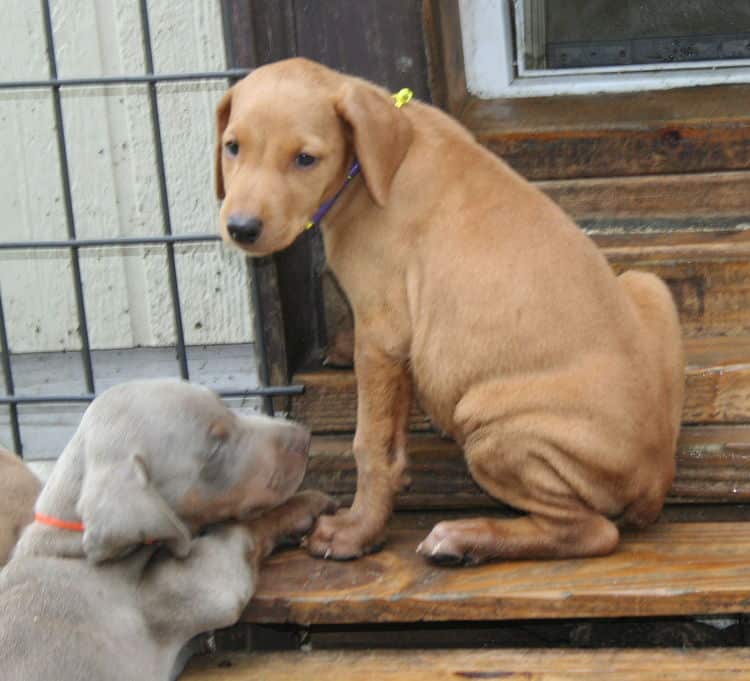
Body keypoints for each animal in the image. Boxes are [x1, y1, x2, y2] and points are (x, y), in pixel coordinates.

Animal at [0, 380, 334, 676]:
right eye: (215, 447)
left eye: (227, 406)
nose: (304, 436)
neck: (68, 548)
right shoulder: (206, 585)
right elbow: (246, 526)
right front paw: (307, 506)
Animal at [217, 58, 688, 564]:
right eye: (232, 147)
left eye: (305, 158)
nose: (241, 228)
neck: (371, 164)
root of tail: (655, 480)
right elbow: (390, 437)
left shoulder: (382, 333)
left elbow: (370, 445)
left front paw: (356, 531)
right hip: (647, 284)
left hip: (493, 426)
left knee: (590, 532)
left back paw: (463, 537)